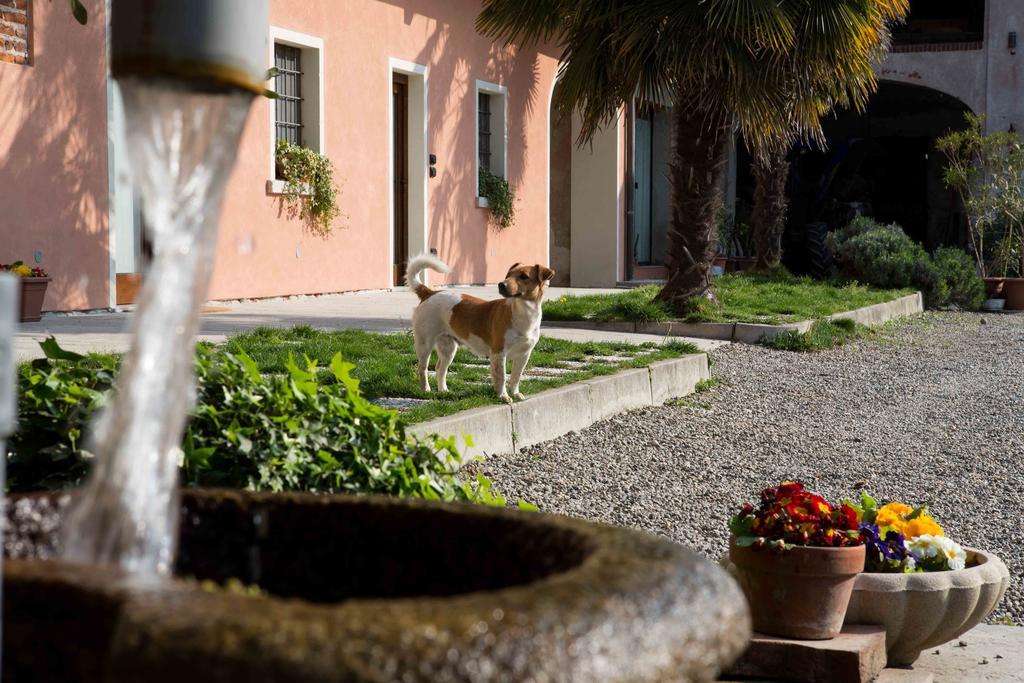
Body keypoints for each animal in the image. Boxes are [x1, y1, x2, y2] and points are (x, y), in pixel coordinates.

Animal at [405, 253, 557, 403]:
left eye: (524, 276)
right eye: (509, 275)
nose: (501, 284)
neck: (523, 313)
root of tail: (429, 293)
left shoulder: (524, 354)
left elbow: (516, 377)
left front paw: (515, 393)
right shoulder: (498, 353)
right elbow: (501, 378)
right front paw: (503, 396)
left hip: (448, 347)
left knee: (440, 369)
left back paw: (443, 391)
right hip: (425, 344)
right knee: (422, 368)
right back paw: (426, 390)